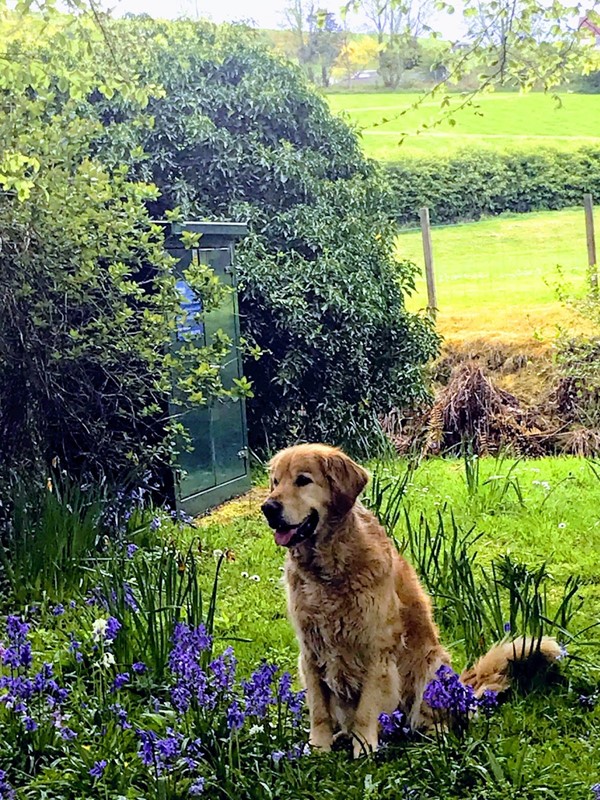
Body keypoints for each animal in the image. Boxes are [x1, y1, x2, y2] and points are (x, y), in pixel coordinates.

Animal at [262, 444, 564, 756]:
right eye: (275, 482)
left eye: (303, 480)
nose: (268, 508)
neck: (326, 571)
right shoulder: (310, 650)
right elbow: (319, 709)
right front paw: (318, 748)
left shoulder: (377, 649)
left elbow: (366, 710)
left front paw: (364, 747)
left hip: (431, 668)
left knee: (433, 718)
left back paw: (430, 735)